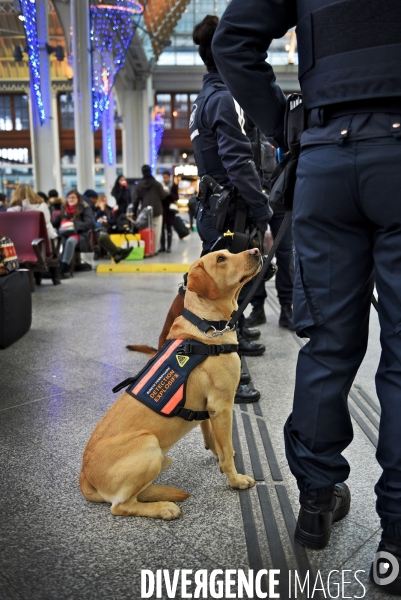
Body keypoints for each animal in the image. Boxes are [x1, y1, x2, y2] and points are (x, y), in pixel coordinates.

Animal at [79, 246, 260, 516]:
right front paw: (236, 480)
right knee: (120, 506)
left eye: (228, 252)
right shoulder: (222, 406)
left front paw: (217, 456)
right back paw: (163, 508)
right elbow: (227, 452)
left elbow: (215, 441)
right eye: (220, 258)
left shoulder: (209, 410)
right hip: (149, 445)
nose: (257, 250)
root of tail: (84, 476)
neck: (207, 327)